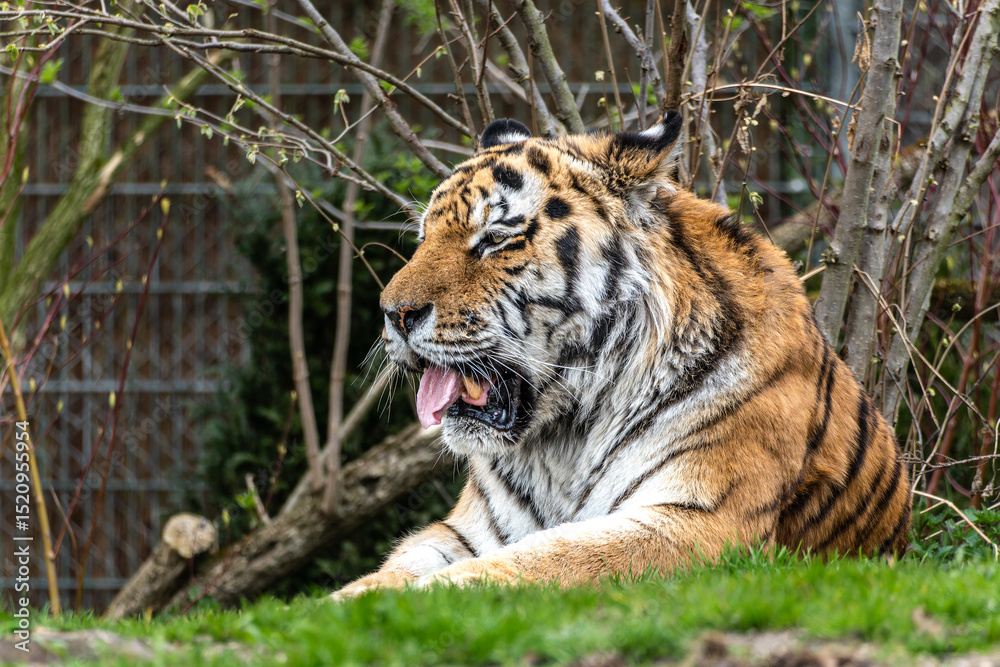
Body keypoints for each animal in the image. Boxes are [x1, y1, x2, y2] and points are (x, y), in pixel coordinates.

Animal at [332, 111, 912, 599]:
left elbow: (548, 556)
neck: (566, 433)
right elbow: (401, 563)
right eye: (424, 235)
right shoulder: (466, 529)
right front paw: (342, 603)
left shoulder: (701, 519)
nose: (392, 313)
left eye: (496, 238)